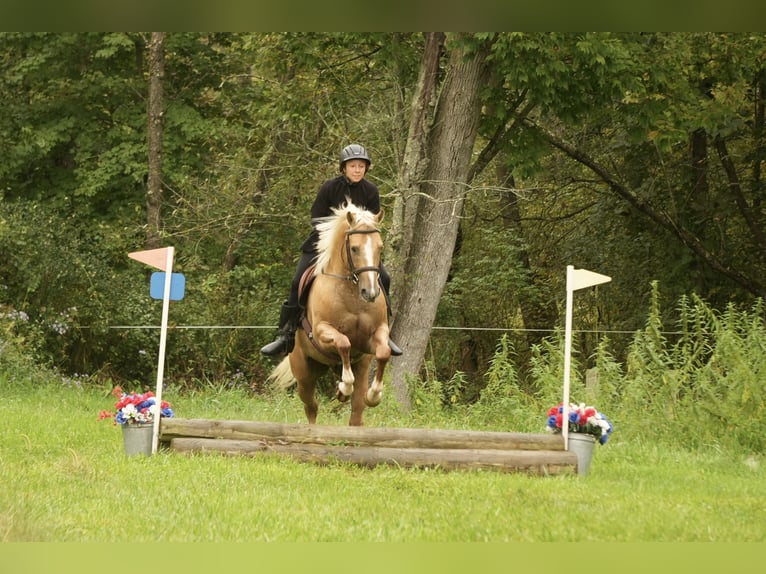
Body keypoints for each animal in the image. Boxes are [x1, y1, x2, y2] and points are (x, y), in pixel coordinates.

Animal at [268, 200, 392, 426]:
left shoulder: (374, 336)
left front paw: (374, 395)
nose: (370, 293)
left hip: (357, 367)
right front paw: (345, 386)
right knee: (311, 407)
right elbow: (343, 343)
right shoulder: (321, 331)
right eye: (354, 248)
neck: (352, 295)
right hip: (304, 374)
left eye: (380, 247)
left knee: (356, 412)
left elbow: (383, 352)